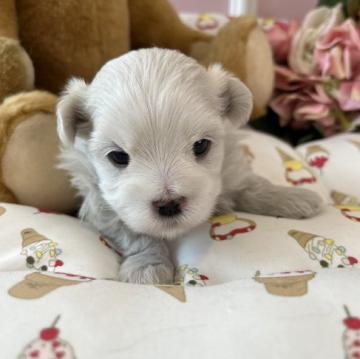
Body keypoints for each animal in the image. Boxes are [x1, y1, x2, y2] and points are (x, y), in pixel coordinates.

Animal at [57, 47, 324, 284]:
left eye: (201, 145)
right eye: (118, 157)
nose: (169, 204)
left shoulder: (229, 167)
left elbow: (252, 185)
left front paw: (293, 197)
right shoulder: (101, 204)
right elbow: (135, 233)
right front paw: (147, 267)